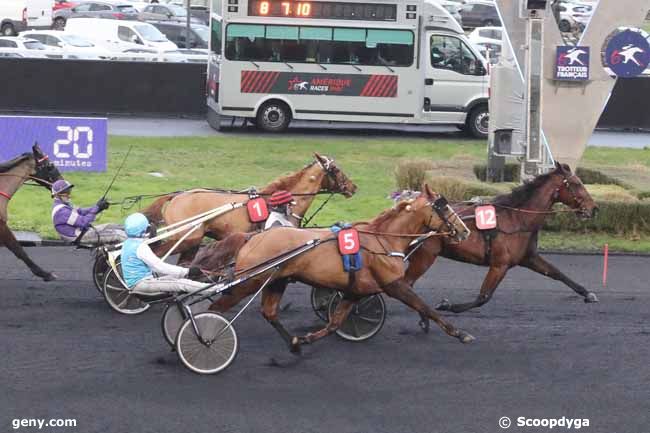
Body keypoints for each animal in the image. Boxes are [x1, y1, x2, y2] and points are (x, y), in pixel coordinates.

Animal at [140, 154, 356, 264]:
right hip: (187, 238)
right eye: (336, 170)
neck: (280, 202)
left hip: (192, 241)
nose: (353, 187)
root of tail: (177, 196)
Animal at [195, 184, 474, 352]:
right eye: (443, 207)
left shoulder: (355, 290)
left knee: (270, 312)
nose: (465, 230)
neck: (383, 240)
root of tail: (252, 237)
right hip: (250, 281)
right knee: (215, 308)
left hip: (276, 280)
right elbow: (426, 307)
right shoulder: (395, 284)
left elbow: (335, 323)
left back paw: (294, 344)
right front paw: (461, 334)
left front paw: (305, 338)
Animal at [404, 162, 596, 314]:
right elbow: (483, 297)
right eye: (577, 184)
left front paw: (588, 294)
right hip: (425, 256)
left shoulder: (529, 258)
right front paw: (447, 305)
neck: (517, 219)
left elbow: (558, 273)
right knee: (407, 283)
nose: (594, 208)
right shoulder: (499, 265)